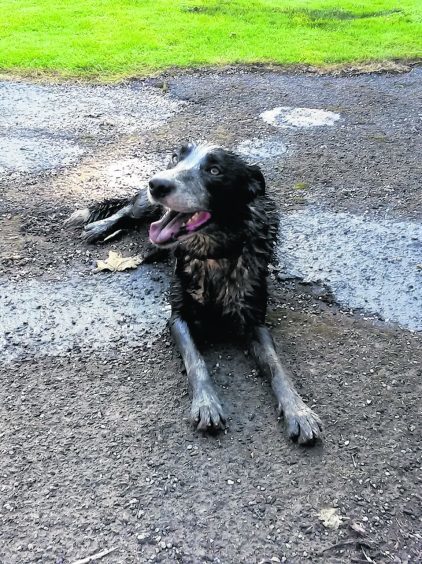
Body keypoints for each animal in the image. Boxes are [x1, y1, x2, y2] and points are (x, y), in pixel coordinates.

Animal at [67, 142, 324, 446]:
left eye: (214, 171)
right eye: (176, 158)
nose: (158, 184)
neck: (213, 255)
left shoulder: (254, 320)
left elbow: (277, 367)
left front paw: (299, 411)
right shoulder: (178, 317)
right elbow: (196, 362)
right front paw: (206, 404)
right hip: (146, 204)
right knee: (128, 209)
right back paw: (100, 226)